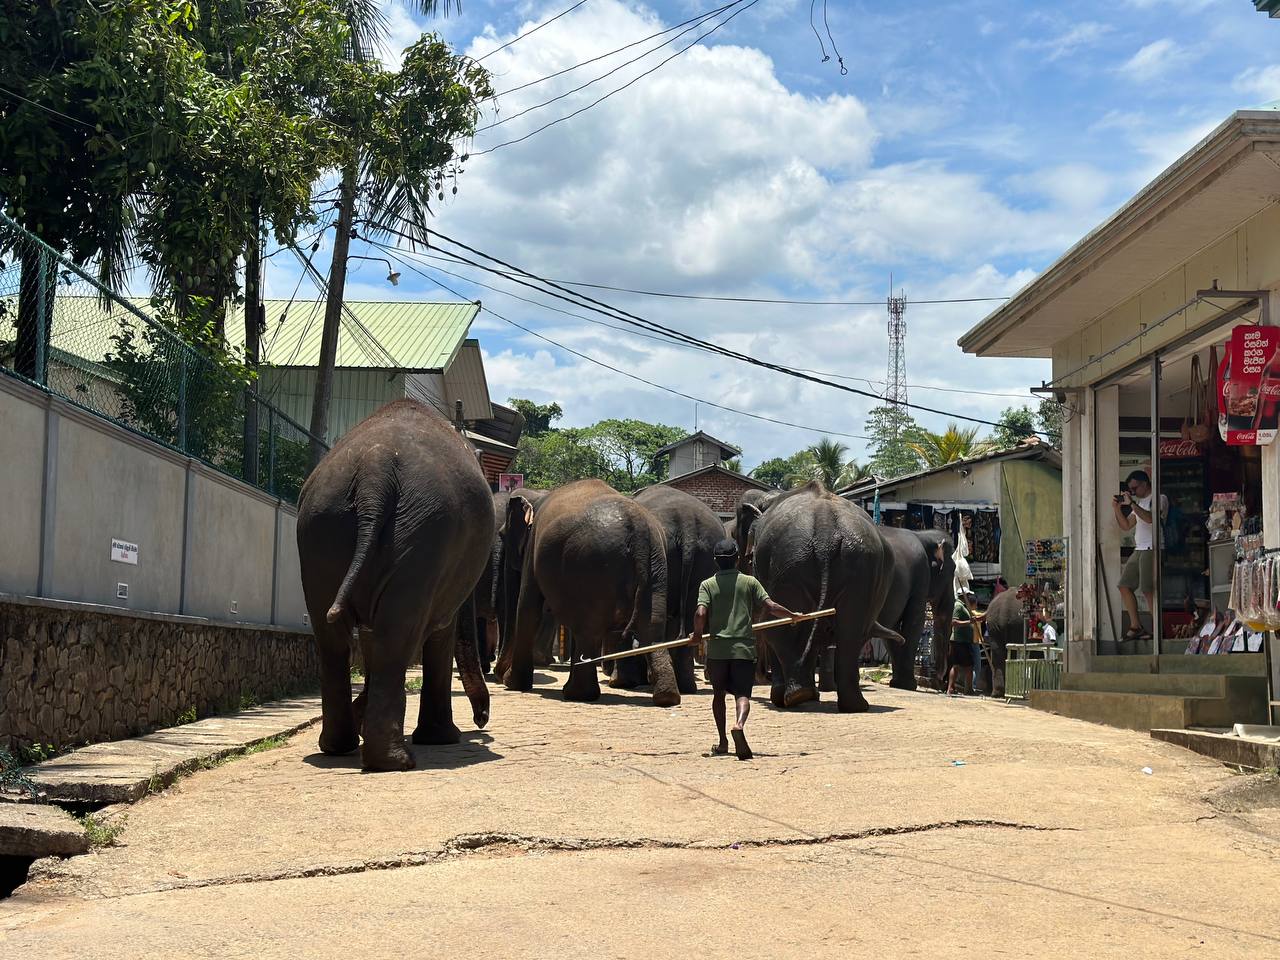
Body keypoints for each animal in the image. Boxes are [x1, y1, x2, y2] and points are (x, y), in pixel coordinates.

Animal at [298, 399, 494, 773]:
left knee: (333, 636)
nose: (482, 720)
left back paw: (339, 746)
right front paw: (444, 739)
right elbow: (440, 632)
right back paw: (394, 760)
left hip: (324, 527)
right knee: (398, 634)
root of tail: (376, 471)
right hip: (425, 534)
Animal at [499, 481, 680, 706]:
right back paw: (667, 697)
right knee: (651, 627)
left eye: (502, 535)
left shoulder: (533, 546)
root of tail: (638, 530)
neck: (539, 494)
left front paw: (511, 683)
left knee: (587, 629)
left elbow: (527, 608)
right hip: (656, 565)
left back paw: (577, 694)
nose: (499, 675)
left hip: (591, 566)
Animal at [752, 481, 906, 716]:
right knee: (850, 631)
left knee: (780, 627)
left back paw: (793, 697)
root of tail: (826, 533)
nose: (901, 639)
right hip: (858, 565)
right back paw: (851, 705)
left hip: (790, 565)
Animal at [875, 527, 957, 691]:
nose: (940, 679)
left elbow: (892, 628)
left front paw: (897, 683)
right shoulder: (920, 576)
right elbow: (915, 621)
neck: (921, 535)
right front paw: (909, 685)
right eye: (954, 570)